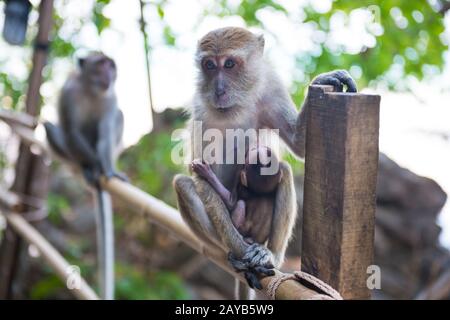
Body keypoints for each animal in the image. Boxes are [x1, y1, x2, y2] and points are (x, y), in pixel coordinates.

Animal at [44, 52, 125, 300]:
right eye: (100, 65)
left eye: (111, 66)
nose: (108, 73)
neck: (92, 90)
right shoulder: (69, 94)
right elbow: (72, 131)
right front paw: (95, 167)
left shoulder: (111, 97)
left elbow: (106, 131)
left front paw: (107, 169)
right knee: (50, 127)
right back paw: (86, 167)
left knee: (118, 116)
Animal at [173, 26, 358, 298]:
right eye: (209, 65)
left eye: (229, 64)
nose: (218, 89)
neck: (234, 105)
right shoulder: (201, 111)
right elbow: (198, 176)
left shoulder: (271, 90)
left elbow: (299, 144)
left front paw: (321, 80)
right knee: (183, 185)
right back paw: (238, 252)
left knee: (284, 170)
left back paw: (270, 254)